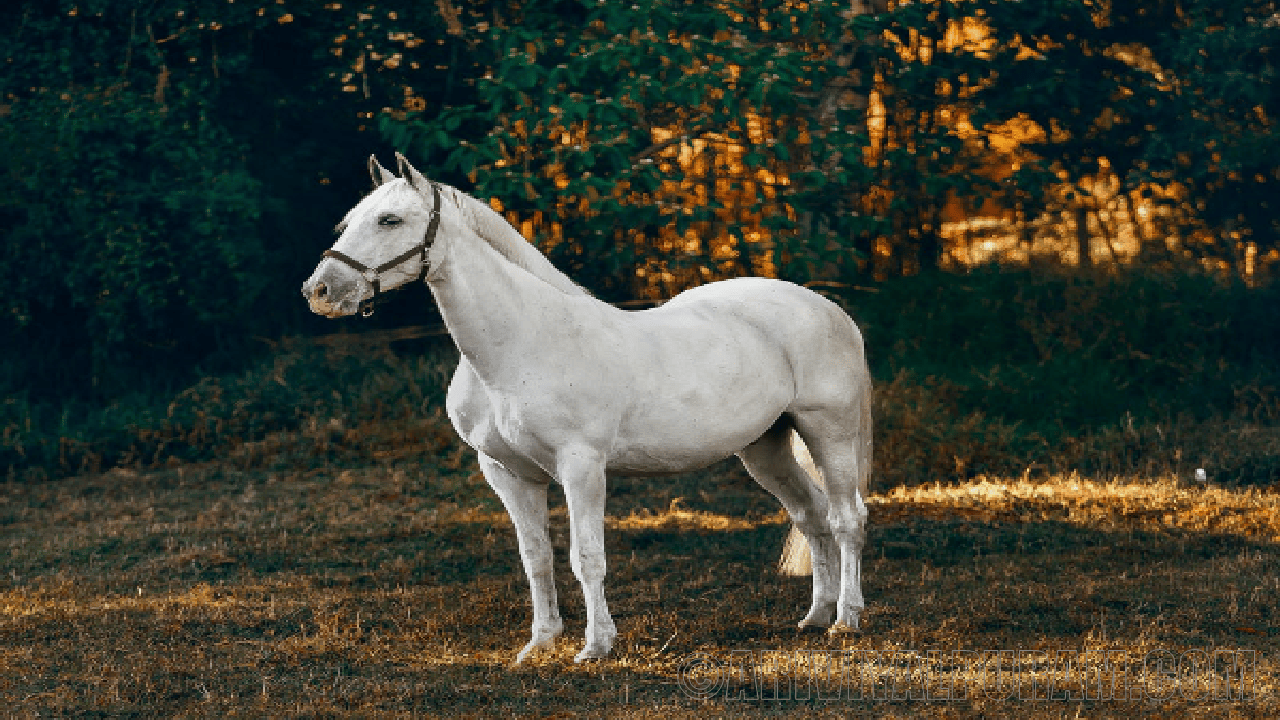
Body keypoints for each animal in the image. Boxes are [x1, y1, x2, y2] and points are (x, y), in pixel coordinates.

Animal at [304, 152, 875, 661]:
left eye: (390, 219)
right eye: (348, 220)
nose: (320, 291)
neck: (520, 344)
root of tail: (829, 309)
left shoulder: (581, 467)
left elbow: (587, 557)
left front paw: (595, 646)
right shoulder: (507, 473)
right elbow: (536, 558)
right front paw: (540, 644)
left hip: (828, 433)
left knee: (847, 517)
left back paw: (846, 620)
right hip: (765, 448)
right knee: (811, 515)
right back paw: (815, 615)